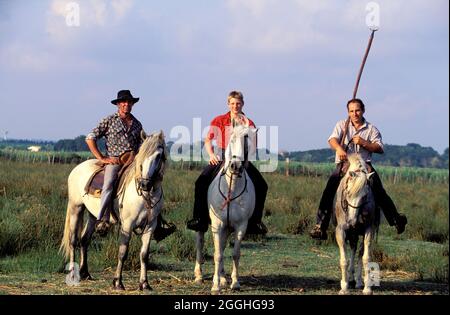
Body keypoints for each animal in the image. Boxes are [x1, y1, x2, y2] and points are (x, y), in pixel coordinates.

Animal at [59, 131, 166, 292]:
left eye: (159, 155)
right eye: (142, 153)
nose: (145, 184)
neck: (146, 196)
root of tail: (77, 168)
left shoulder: (150, 226)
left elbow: (144, 255)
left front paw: (144, 284)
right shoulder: (127, 225)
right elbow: (122, 253)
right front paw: (117, 282)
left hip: (93, 215)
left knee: (84, 240)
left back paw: (85, 273)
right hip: (75, 208)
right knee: (73, 241)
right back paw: (73, 275)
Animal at [192, 123, 256, 294]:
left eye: (247, 140)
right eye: (231, 139)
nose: (235, 166)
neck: (231, 188)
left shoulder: (241, 226)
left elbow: (235, 254)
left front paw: (235, 282)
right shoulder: (217, 225)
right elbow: (217, 255)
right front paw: (215, 286)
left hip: (227, 228)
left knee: (222, 245)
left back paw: (222, 277)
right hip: (205, 224)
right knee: (200, 242)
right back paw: (199, 275)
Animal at [334, 154, 380, 296]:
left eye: (365, 197)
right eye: (348, 193)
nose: (352, 221)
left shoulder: (368, 230)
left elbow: (366, 258)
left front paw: (367, 288)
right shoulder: (341, 230)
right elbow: (344, 260)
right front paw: (344, 287)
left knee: (359, 253)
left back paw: (358, 281)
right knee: (354, 250)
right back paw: (351, 279)